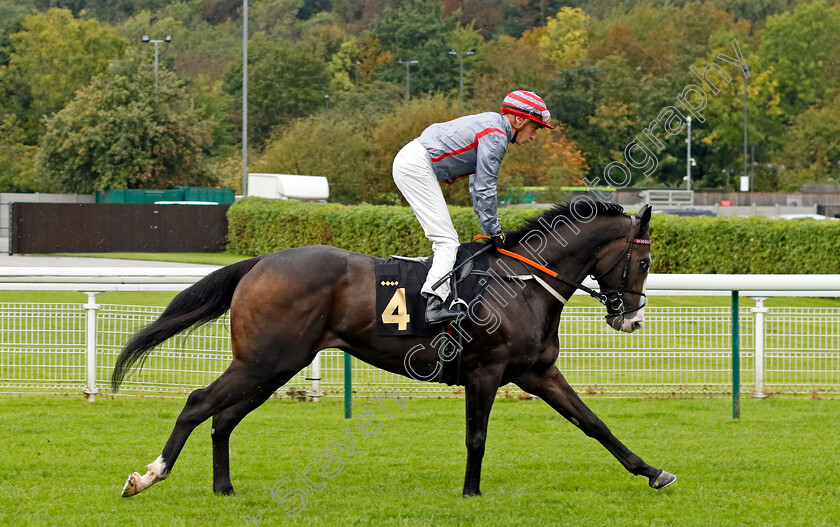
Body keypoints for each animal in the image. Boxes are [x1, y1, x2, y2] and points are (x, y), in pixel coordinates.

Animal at [111, 201, 676, 500]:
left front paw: (653, 471)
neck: (523, 283)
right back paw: (147, 476)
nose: (633, 318)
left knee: (224, 417)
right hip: (265, 360)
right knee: (198, 403)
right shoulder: (486, 372)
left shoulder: (537, 372)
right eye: (645, 263)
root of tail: (261, 261)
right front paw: (471, 493)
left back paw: (223, 487)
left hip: (273, 367)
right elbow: (476, 437)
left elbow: (594, 424)